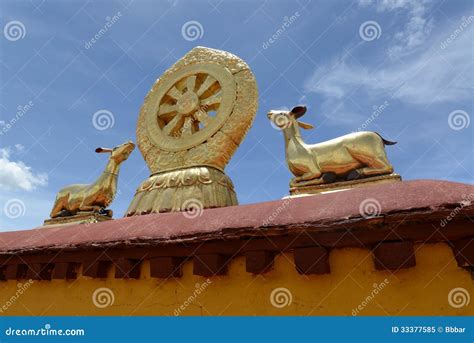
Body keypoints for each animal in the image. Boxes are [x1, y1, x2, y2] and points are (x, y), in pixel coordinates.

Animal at [266, 107, 396, 188]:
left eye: (282, 113)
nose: (270, 112)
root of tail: (377, 135)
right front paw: (330, 176)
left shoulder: (313, 170)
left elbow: (293, 181)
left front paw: (328, 177)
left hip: (369, 154)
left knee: (388, 167)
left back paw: (354, 173)